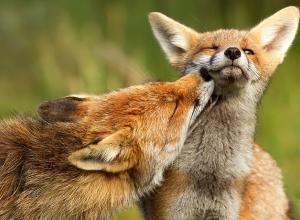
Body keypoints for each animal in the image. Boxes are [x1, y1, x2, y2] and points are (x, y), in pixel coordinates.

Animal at [141, 6, 300, 219]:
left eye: (248, 51)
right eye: (212, 47)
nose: (233, 51)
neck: (211, 173)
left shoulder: (225, 212)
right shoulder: (173, 211)